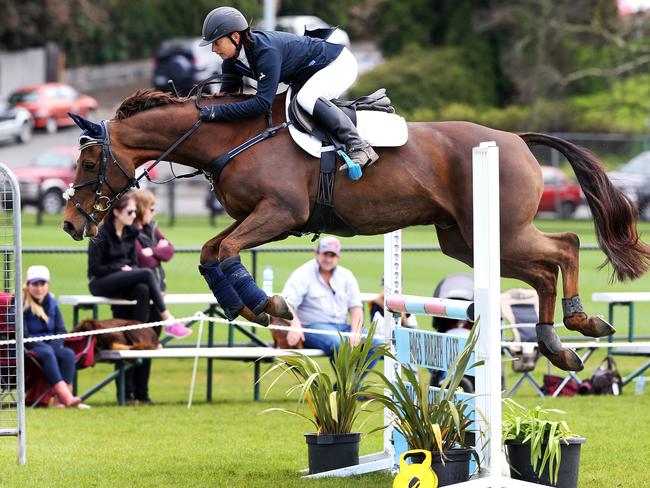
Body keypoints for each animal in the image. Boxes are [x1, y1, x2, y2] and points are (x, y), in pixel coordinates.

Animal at [60, 88, 648, 370]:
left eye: (88, 163)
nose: (68, 224)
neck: (234, 137)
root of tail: (515, 139)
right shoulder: (256, 219)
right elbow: (210, 251)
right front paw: (251, 307)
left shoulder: (279, 215)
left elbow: (223, 250)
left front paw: (266, 304)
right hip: (466, 240)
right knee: (545, 270)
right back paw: (557, 344)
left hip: (496, 232)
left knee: (564, 247)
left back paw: (581, 322)